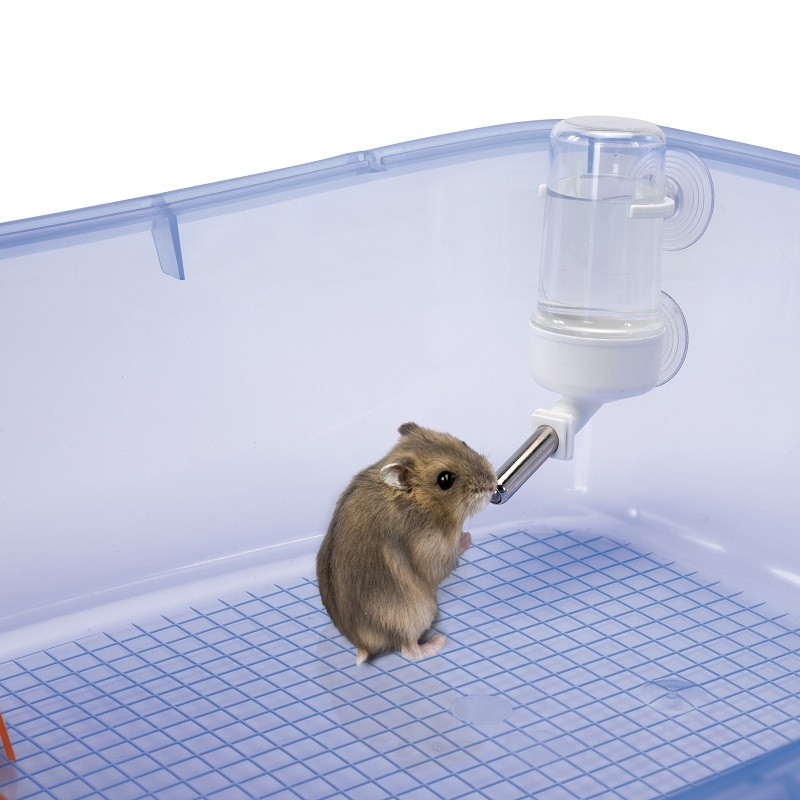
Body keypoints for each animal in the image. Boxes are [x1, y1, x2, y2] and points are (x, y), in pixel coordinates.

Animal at [316, 422, 497, 665]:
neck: (421, 503)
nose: (493, 482)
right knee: (408, 650)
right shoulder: (432, 549)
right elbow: (451, 555)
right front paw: (467, 536)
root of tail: (363, 645)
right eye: (445, 480)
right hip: (417, 612)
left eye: (463, 443)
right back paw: (438, 641)